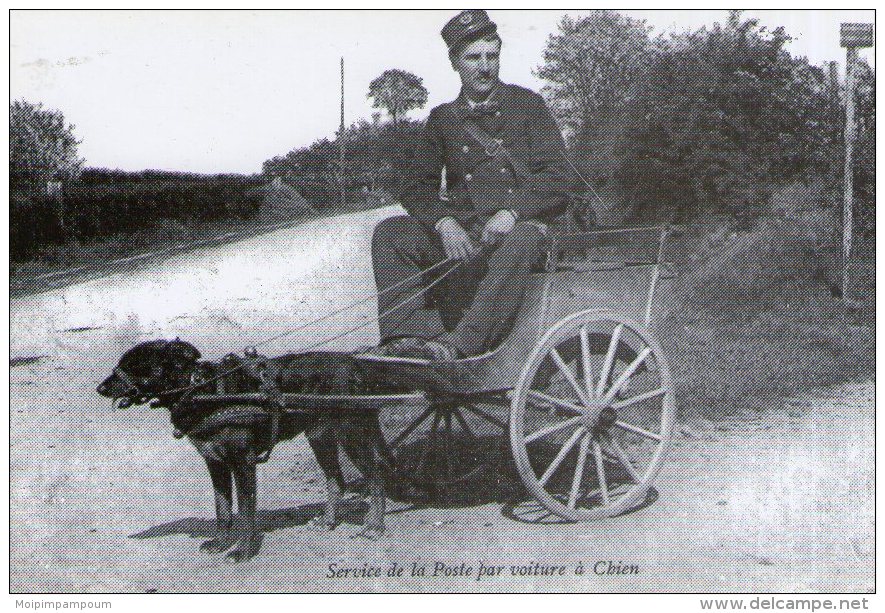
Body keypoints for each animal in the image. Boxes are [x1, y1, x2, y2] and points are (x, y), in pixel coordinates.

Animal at [96, 338, 400, 560]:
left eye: (135, 365)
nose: (100, 388)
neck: (202, 391)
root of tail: (355, 364)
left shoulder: (243, 462)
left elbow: (245, 511)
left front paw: (243, 550)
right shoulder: (215, 462)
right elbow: (223, 509)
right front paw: (220, 543)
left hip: (352, 433)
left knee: (376, 475)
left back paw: (374, 526)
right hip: (320, 436)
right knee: (336, 480)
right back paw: (327, 521)